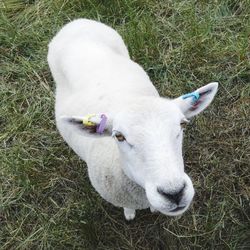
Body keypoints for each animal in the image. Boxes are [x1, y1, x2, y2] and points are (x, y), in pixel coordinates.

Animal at [47, 18, 218, 220]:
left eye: (182, 125)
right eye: (119, 136)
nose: (174, 193)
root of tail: (76, 22)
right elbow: (128, 208)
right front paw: (129, 214)